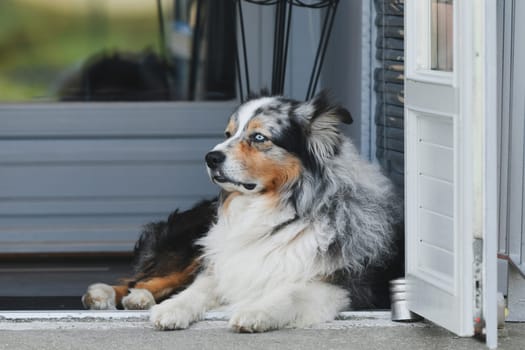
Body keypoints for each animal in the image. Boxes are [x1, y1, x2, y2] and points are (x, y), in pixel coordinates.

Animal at [82, 91, 404, 332]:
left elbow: (290, 292)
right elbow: (198, 288)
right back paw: (111, 295)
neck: (272, 211)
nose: (210, 157)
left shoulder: (340, 286)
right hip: (197, 242)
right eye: (228, 133)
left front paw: (255, 312)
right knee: (146, 278)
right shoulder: (225, 262)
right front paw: (173, 309)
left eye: (259, 137)